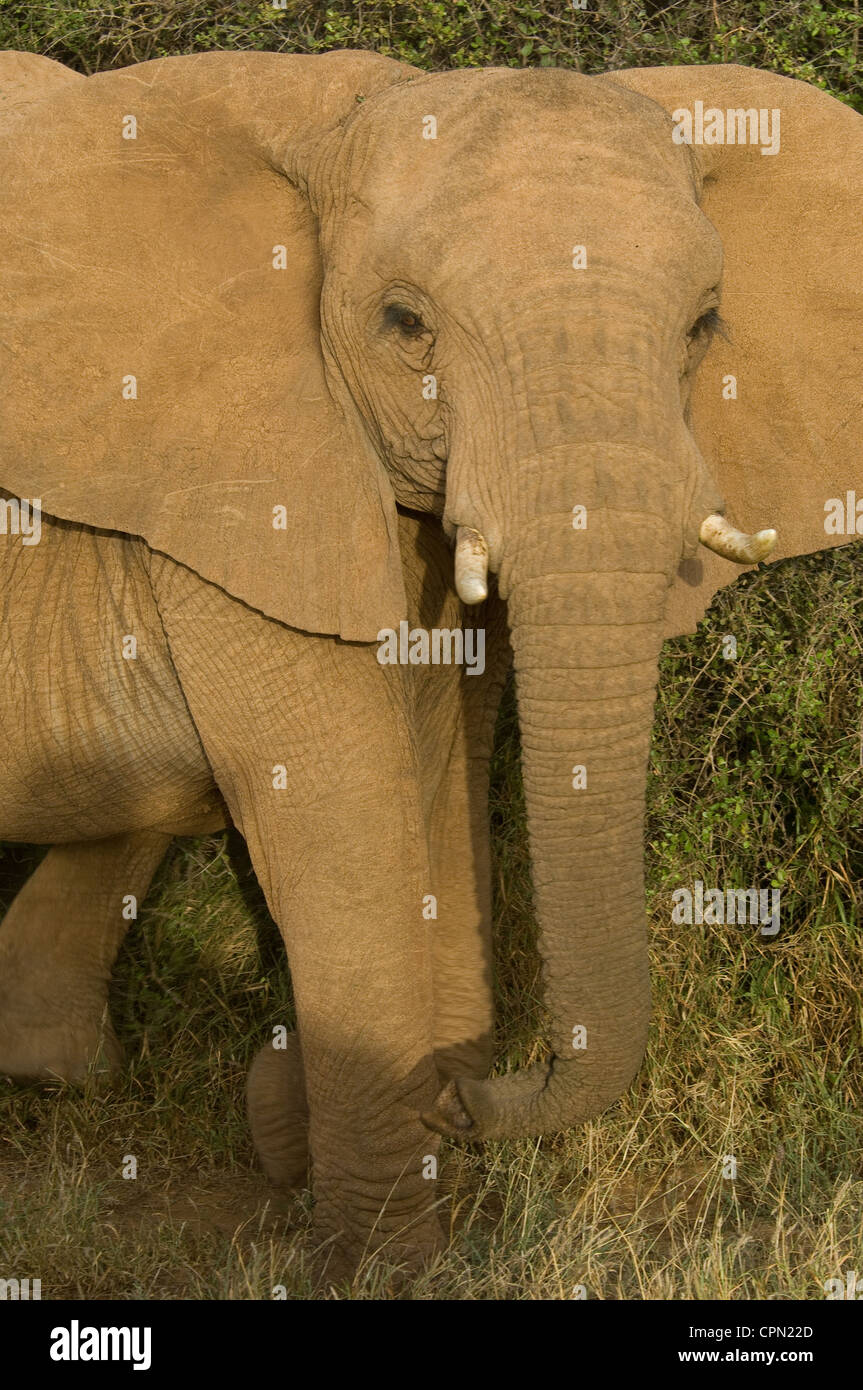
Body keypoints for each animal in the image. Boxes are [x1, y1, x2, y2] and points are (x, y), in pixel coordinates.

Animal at [0, 47, 860, 1274]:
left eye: (703, 326)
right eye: (402, 321)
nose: (465, 1097)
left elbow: (442, 772)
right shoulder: (236, 485)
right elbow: (340, 817)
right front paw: (386, 1264)